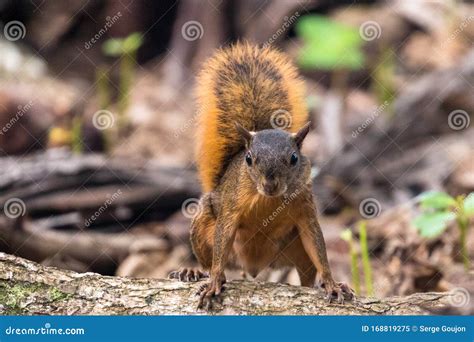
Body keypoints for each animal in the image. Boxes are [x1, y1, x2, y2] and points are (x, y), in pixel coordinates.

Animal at [169, 41, 352, 308]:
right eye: (248, 159)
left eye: (294, 158)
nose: (270, 185)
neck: (268, 199)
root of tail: (253, 265)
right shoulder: (231, 209)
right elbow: (223, 239)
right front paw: (213, 282)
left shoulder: (305, 210)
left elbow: (317, 244)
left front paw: (331, 282)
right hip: (204, 225)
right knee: (210, 259)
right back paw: (194, 271)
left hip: (294, 247)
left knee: (306, 274)